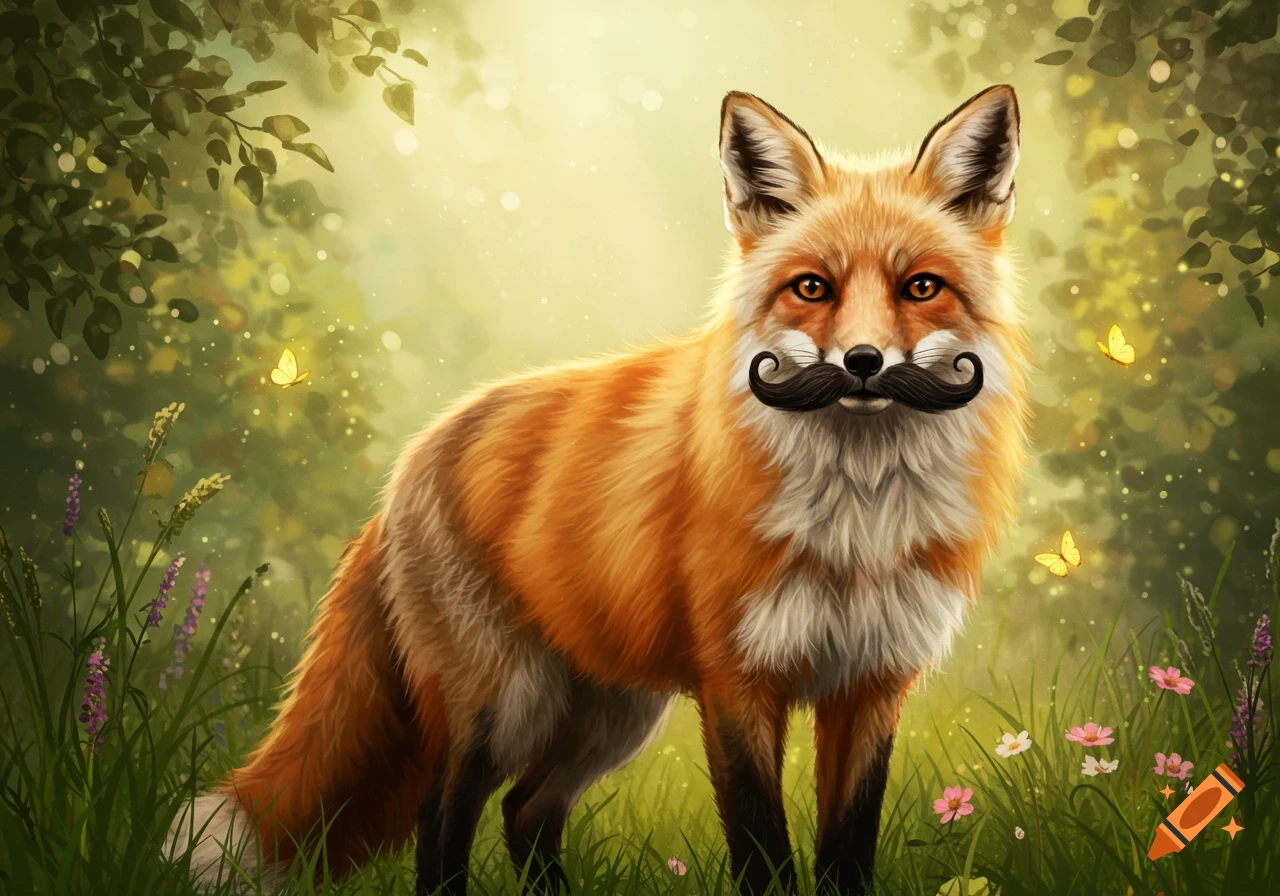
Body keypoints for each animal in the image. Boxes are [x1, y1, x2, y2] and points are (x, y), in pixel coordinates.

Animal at [168, 84, 1031, 896]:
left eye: (921, 287)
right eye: (812, 288)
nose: (863, 363)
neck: (858, 521)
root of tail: (415, 453)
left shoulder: (871, 685)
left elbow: (847, 853)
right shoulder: (738, 682)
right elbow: (762, 852)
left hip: (612, 713)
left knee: (526, 811)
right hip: (500, 702)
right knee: (443, 814)